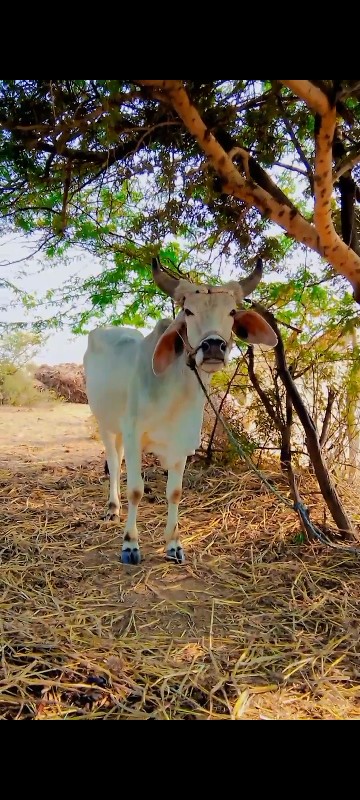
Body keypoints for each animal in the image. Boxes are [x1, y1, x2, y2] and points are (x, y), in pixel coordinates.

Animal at [83, 256, 276, 564]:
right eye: (188, 311)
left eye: (232, 311)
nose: (213, 346)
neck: (174, 393)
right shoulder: (135, 436)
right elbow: (135, 490)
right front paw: (130, 544)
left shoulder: (181, 445)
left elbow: (174, 492)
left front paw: (173, 544)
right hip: (105, 423)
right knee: (114, 462)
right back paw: (112, 508)